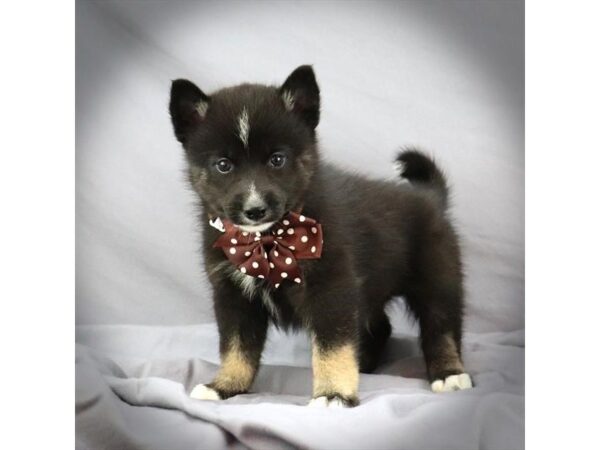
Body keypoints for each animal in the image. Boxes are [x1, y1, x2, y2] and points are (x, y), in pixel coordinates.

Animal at [169, 64, 474, 408]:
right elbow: (236, 347)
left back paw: (449, 373)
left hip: (438, 278)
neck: (268, 239)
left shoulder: (331, 287)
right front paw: (224, 386)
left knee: (441, 326)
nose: (255, 210)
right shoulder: (233, 294)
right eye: (223, 165)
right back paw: (364, 365)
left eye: (278, 159)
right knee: (381, 327)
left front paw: (334, 393)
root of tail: (430, 197)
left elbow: (332, 346)